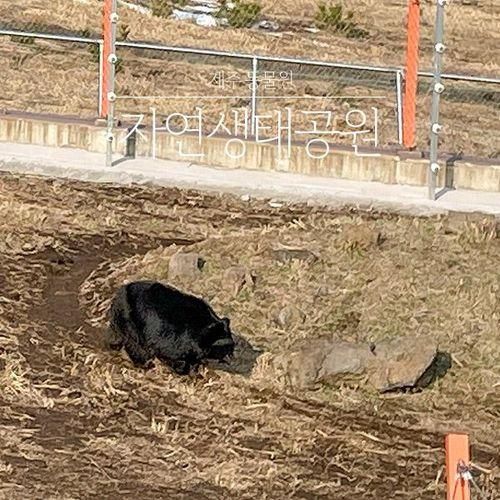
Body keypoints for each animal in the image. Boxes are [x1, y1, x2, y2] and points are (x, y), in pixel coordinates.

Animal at [106, 280, 235, 374]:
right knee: (135, 345)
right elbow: (173, 356)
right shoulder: (172, 339)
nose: (231, 359)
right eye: (224, 348)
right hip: (130, 323)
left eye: (231, 347)